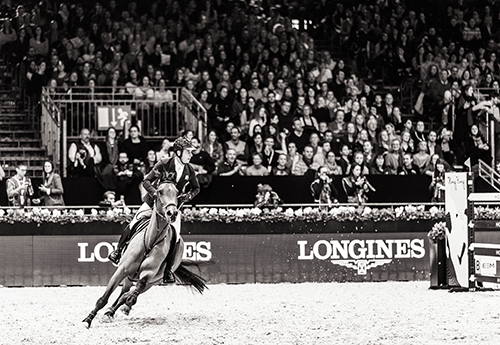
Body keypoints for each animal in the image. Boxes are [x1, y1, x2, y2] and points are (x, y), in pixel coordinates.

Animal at [83, 180, 208, 328]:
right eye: (160, 191)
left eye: (177, 193)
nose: (172, 213)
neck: (150, 241)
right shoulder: (122, 270)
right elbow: (103, 299)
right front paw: (87, 320)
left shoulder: (148, 273)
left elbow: (137, 287)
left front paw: (127, 304)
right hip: (130, 275)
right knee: (124, 291)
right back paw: (111, 312)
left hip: (153, 281)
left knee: (126, 294)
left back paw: (116, 310)